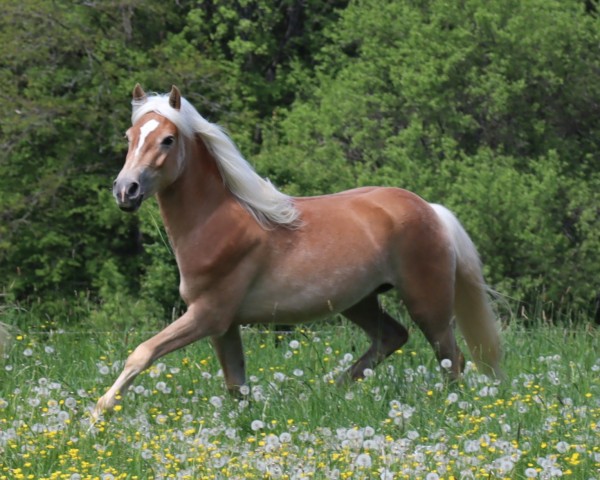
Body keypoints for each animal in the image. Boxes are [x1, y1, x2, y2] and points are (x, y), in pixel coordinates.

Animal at [95, 85, 506, 416]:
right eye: (130, 135)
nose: (125, 190)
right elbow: (237, 387)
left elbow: (142, 352)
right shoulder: (224, 326)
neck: (215, 223)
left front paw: (98, 414)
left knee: (452, 359)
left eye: (167, 139)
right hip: (360, 301)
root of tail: (431, 210)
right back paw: (333, 393)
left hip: (427, 301)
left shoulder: (208, 315)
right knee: (393, 337)